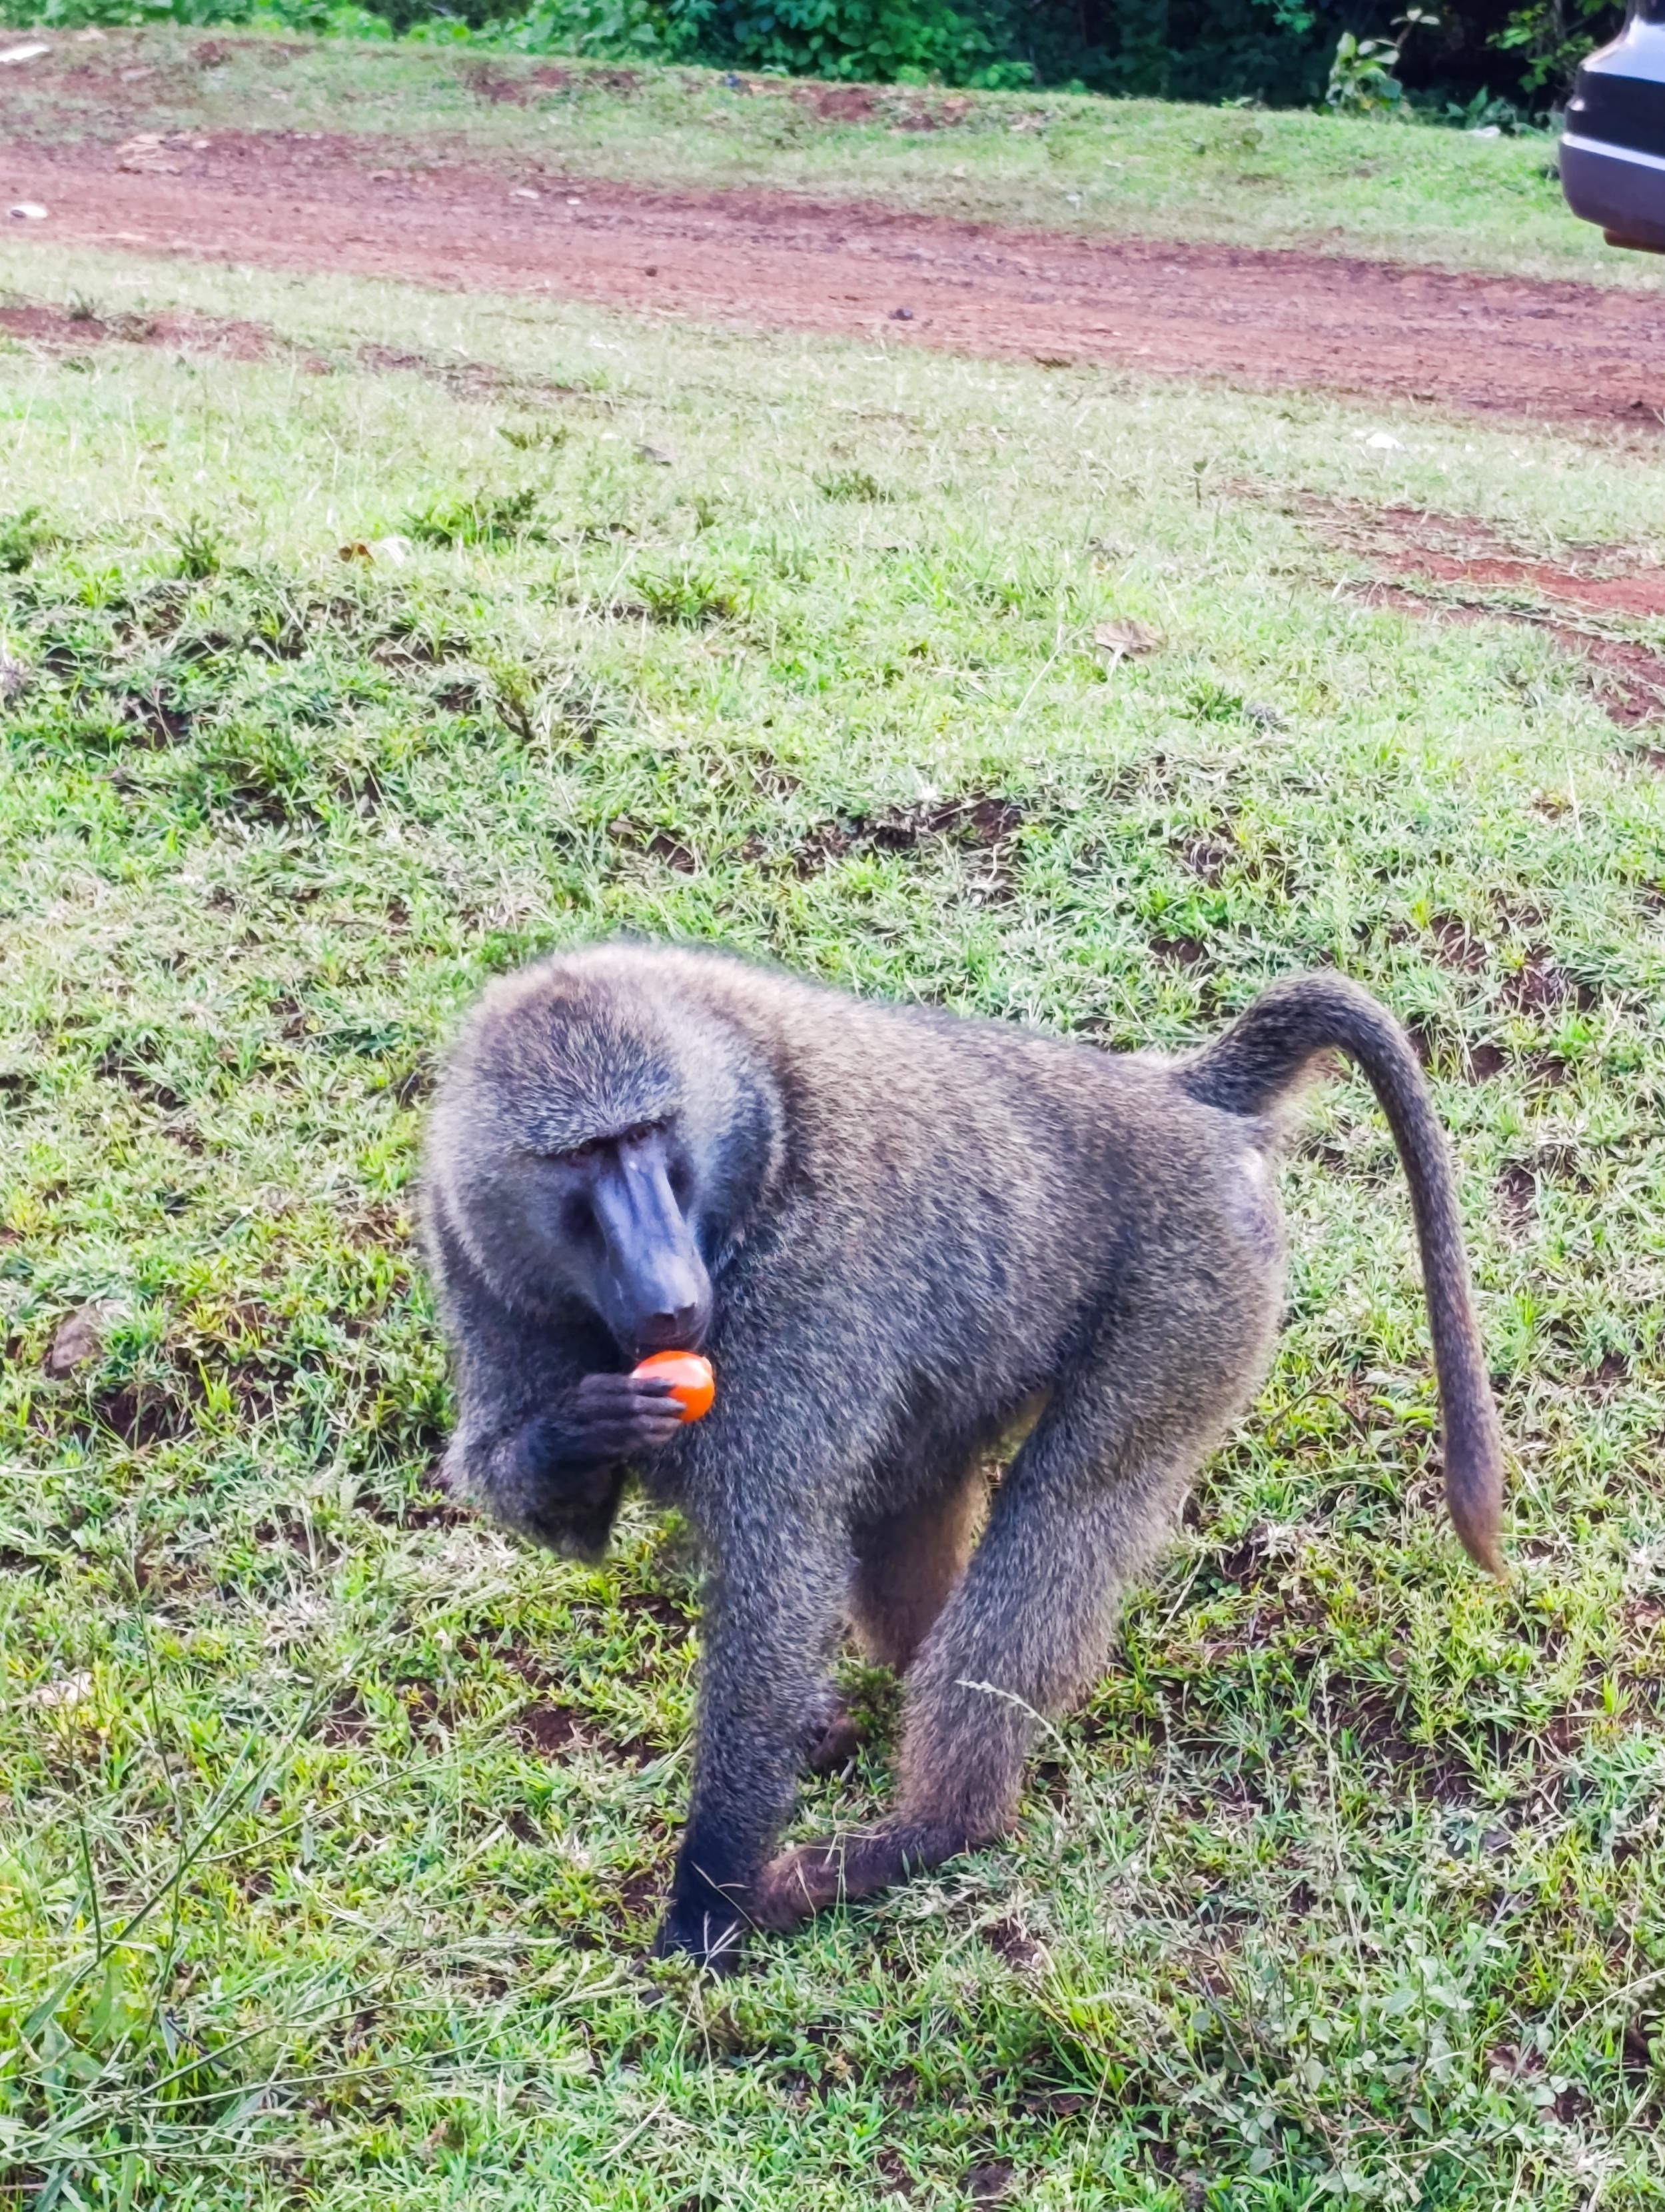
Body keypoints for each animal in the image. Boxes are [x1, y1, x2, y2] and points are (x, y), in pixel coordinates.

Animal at [420, 943, 1505, 1970]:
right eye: (586, 1154)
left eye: (648, 1136)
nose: (669, 1300)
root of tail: (1176, 1095)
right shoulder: (471, 1250)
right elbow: (562, 1519)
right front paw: (586, 1424)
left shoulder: (802, 1283)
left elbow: (778, 1574)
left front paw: (705, 1905)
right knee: (913, 1497)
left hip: (1195, 1291)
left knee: (1066, 1510)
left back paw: (929, 1830)